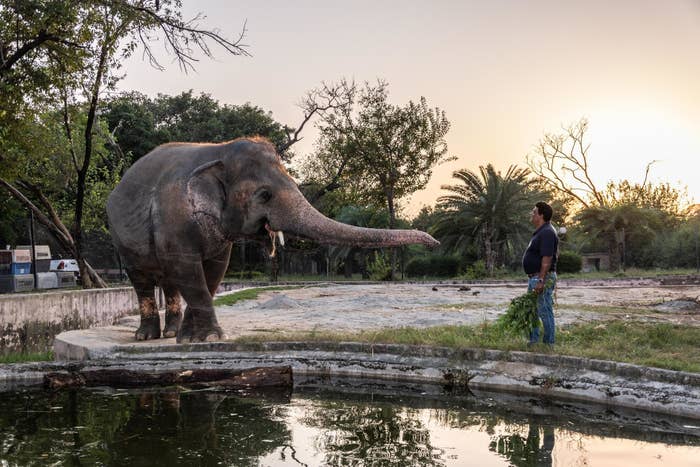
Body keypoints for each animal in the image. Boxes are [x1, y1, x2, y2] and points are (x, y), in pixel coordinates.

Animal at [106, 136, 438, 344]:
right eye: (264, 194)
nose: (434, 242)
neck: (218, 151)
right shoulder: (174, 218)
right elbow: (189, 270)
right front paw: (210, 337)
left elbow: (213, 272)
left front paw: (191, 338)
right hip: (122, 240)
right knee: (143, 279)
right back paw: (145, 337)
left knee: (169, 282)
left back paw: (168, 334)